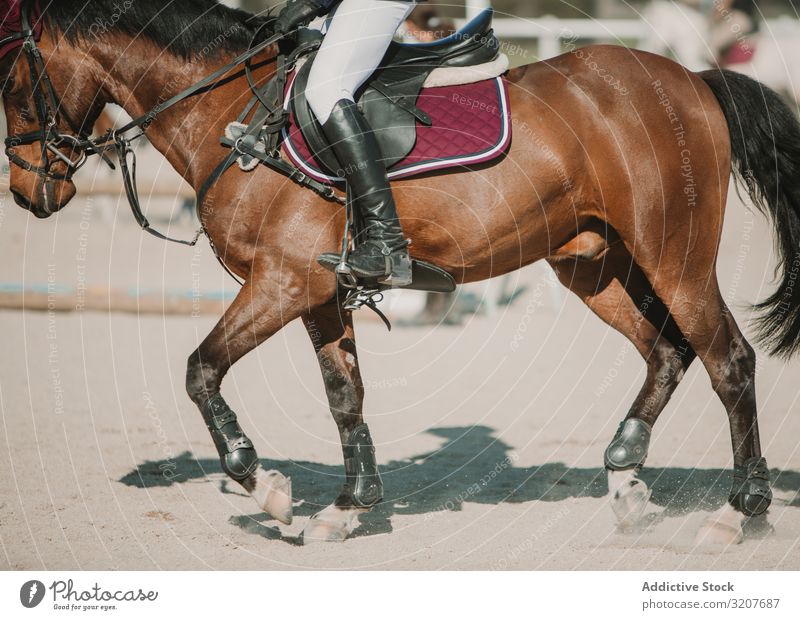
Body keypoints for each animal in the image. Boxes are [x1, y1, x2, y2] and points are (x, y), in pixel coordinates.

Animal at [1, 0, 800, 544]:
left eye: (10, 82)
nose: (27, 193)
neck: (231, 112)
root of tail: (689, 80)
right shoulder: (316, 292)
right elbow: (344, 396)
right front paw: (348, 507)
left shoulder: (282, 282)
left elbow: (201, 370)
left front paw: (265, 487)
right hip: (594, 265)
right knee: (667, 350)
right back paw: (628, 478)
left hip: (675, 256)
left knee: (728, 360)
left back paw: (741, 513)